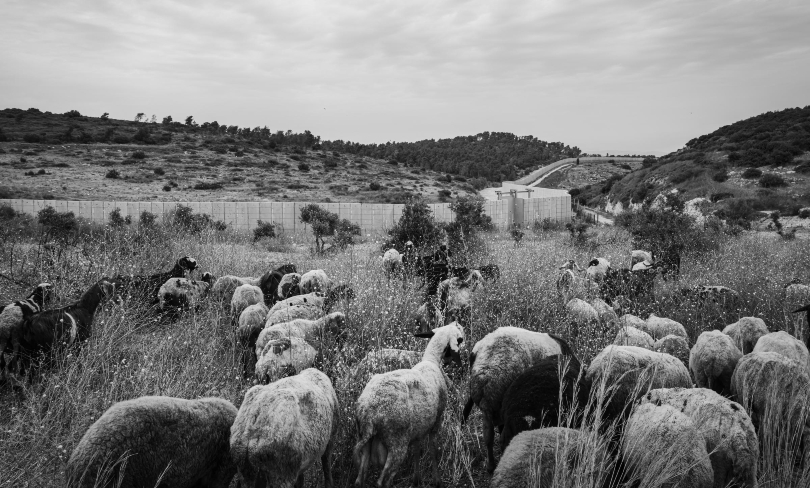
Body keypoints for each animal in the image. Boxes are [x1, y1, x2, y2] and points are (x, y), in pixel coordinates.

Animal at [353, 323, 465, 488]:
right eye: (459, 335)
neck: (431, 359)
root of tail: (368, 413)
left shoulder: (419, 426)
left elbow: (417, 449)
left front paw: (416, 479)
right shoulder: (436, 421)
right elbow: (432, 449)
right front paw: (436, 480)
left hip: (366, 442)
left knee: (359, 479)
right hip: (397, 443)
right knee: (382, 482)